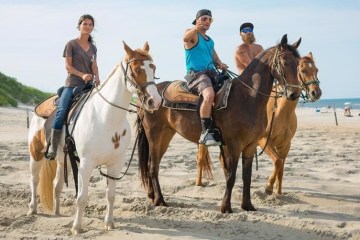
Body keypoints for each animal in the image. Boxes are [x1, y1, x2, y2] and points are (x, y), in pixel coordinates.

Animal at [27, 41, 162, 234]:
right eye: (136, 69)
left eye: (153, 68)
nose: (155, 101)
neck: (106, 117)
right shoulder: (85, 164)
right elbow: (82, 197)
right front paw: (77, 227)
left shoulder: (115, 164)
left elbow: (111, 195)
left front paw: (109, 223)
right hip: (35, 153)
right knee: (34, 179)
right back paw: (32, 209)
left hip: (62, 160)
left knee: (56, 184)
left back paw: (57, 211)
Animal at [137, 34, 300, 213]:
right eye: (284, 62)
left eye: (298, 64)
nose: (294, 93)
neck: (247, 97)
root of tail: (148, 97)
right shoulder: (234, 145)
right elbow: (231, 176)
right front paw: (226, 207)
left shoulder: (250, 145)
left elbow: (247, 177)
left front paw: (247, 205)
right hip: (154, 135)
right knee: (153, 166)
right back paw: (160, 200)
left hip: (165, 135)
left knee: (152, 165)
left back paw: (153, 196)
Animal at [195, 52, 322, 195]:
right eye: (303, 70)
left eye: (316, 70)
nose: (316, 93)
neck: (281, 112)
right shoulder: (263, 140)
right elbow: (278, 161)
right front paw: (268, 187)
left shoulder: (285, 145)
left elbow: (281, 167)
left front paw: (278, 192)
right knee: (201, 157)